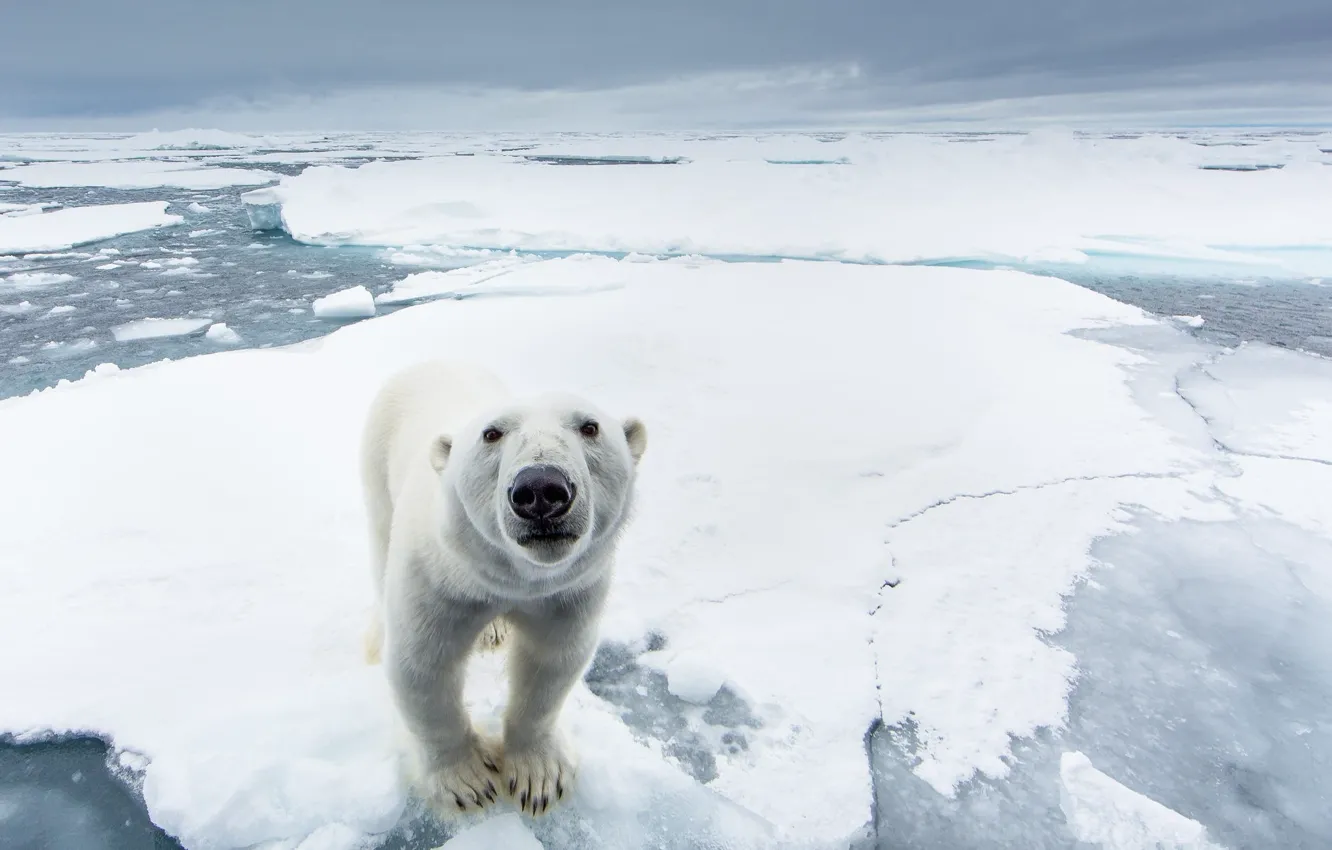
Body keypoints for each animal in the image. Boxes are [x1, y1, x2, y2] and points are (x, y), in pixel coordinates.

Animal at [354, 359, 644, 820]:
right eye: (491, 434)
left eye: (590, 427)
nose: (541, 490)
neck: (511, 578)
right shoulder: (439, 578)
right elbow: (423, 665)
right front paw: (467, 782)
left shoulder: (566, 591)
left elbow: (550, 663)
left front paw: (538, 778)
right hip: (377, 464)